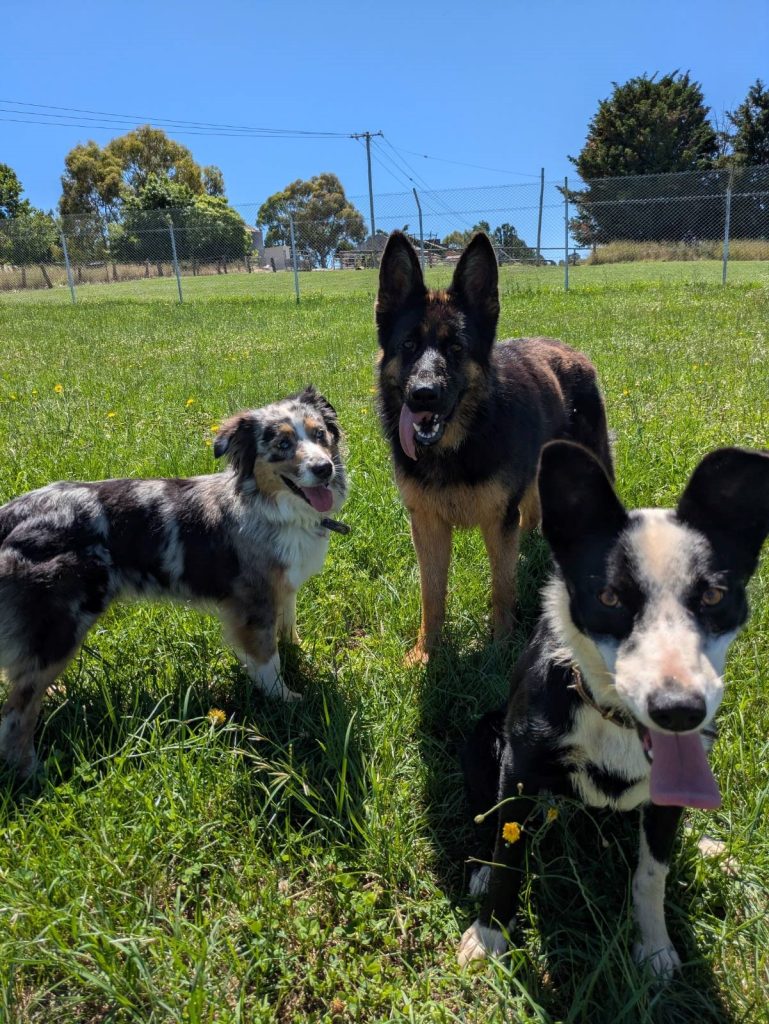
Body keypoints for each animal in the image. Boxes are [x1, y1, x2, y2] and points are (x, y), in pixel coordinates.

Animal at [378, 232, 614, 663]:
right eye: (408, 345)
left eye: (456, 348)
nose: (423, 396)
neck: (456, 447)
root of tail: (572, 351)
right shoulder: (428, 526)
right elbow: (431, 596)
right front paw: (426, 652)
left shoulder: (496, 522)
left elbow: (502, 589)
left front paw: (502, 646)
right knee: (532, 514)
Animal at [460, 440, 769, 974]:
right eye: (608, 597)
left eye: (713, 595)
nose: (678, 710)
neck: (612, 719)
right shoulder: (518, 765)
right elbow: (508, 854)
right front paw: (489, 934)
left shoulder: (668, 797)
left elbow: (652, 874)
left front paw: (656, 948)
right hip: (486, 737)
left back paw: (707, 847)